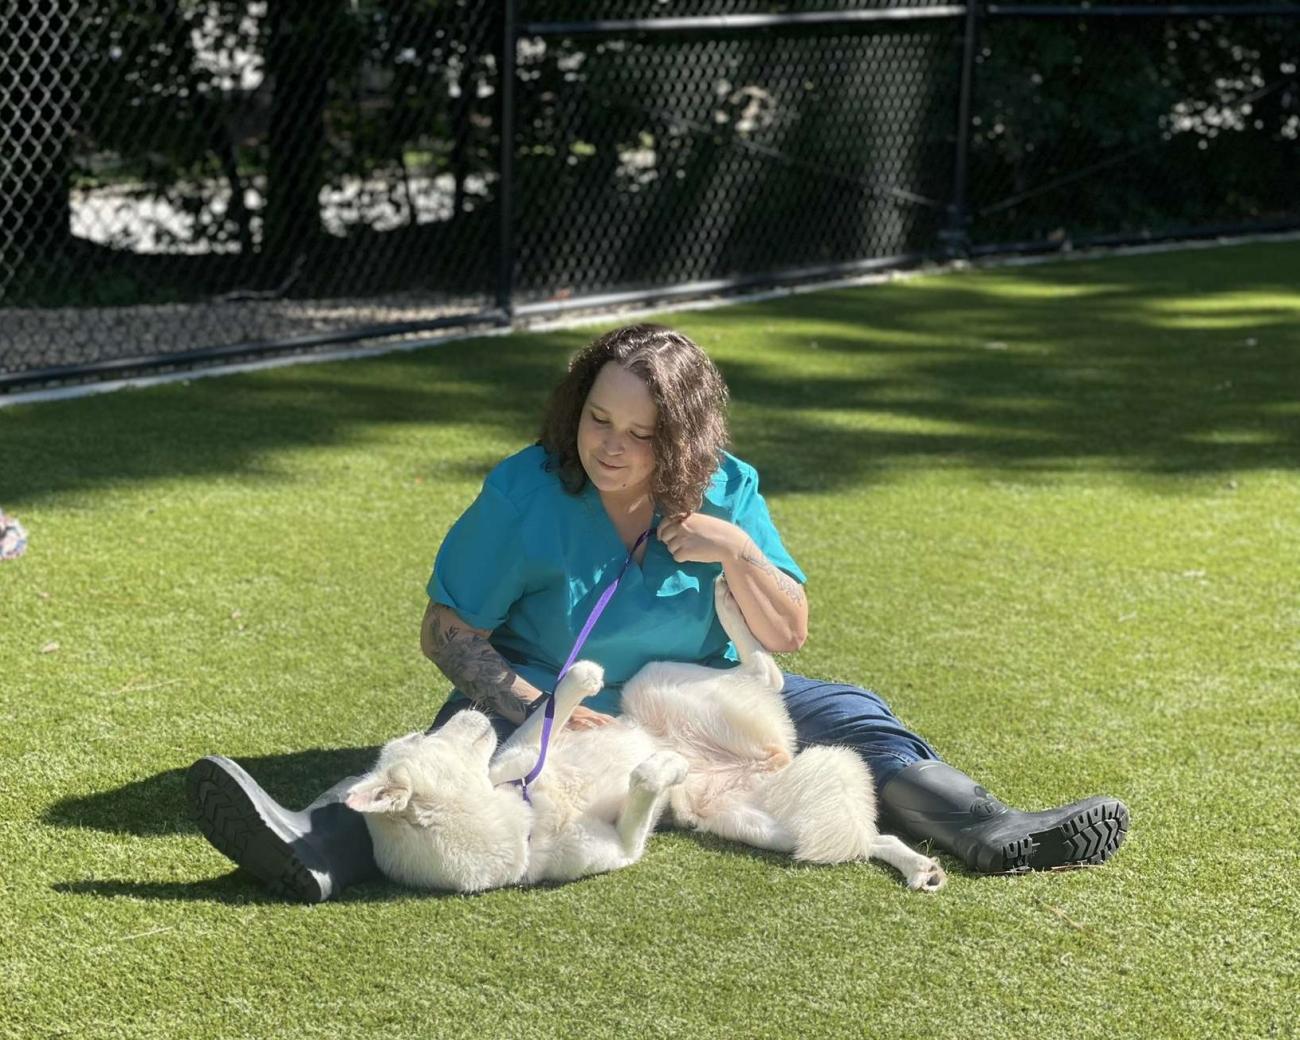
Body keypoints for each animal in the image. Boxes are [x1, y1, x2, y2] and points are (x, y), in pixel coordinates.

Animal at [343, 577, 946, 894]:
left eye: (416, 737)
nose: (469, 713)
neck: (524, 811)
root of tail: (768, 759)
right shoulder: (621, 849)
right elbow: (641, 792)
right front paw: (661, 769)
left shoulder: (520, 755)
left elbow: (547, 712)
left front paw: (580, 679)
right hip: (766, 826)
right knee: (862, 835)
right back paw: (918, 867)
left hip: (655, 679)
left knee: (764, 671)